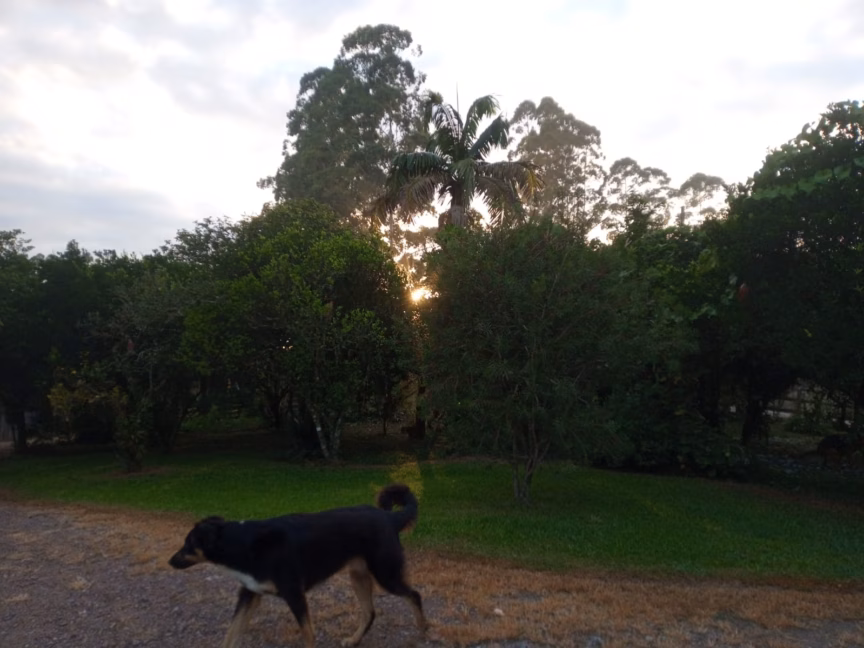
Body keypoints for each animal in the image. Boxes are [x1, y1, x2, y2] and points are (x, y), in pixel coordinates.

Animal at [168, 483, 426, 648]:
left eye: (188, 544)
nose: (170, 561)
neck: (244, 543)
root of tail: (390, 518)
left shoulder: (295, 595)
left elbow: (308, 636)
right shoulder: (250, 594)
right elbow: (231, 633)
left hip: (386, 574)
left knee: (414, 595)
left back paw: (422, 631)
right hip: (358, 575)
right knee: (370, 612)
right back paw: (354, 640)